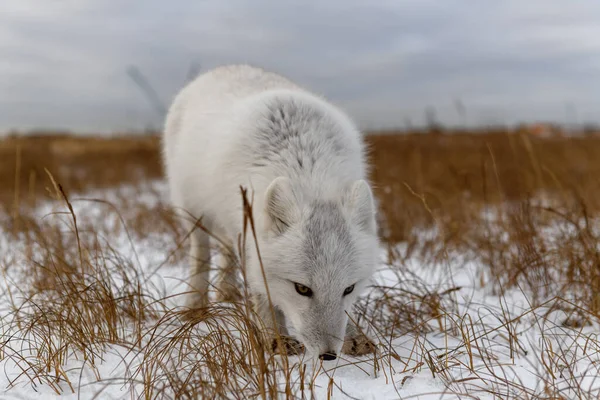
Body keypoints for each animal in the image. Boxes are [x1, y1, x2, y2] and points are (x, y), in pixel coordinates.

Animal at [162, 65, 378, 360]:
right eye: (302, 289)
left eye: (348, 288)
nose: (328, 355)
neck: (309, 171)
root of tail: (224, 67)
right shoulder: (249, 237)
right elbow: (262, 293)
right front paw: (276, 339)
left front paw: (355, 336)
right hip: (195, 213)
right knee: (201, 257)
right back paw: (196, 305)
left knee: (226, 253)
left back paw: (226, 293)